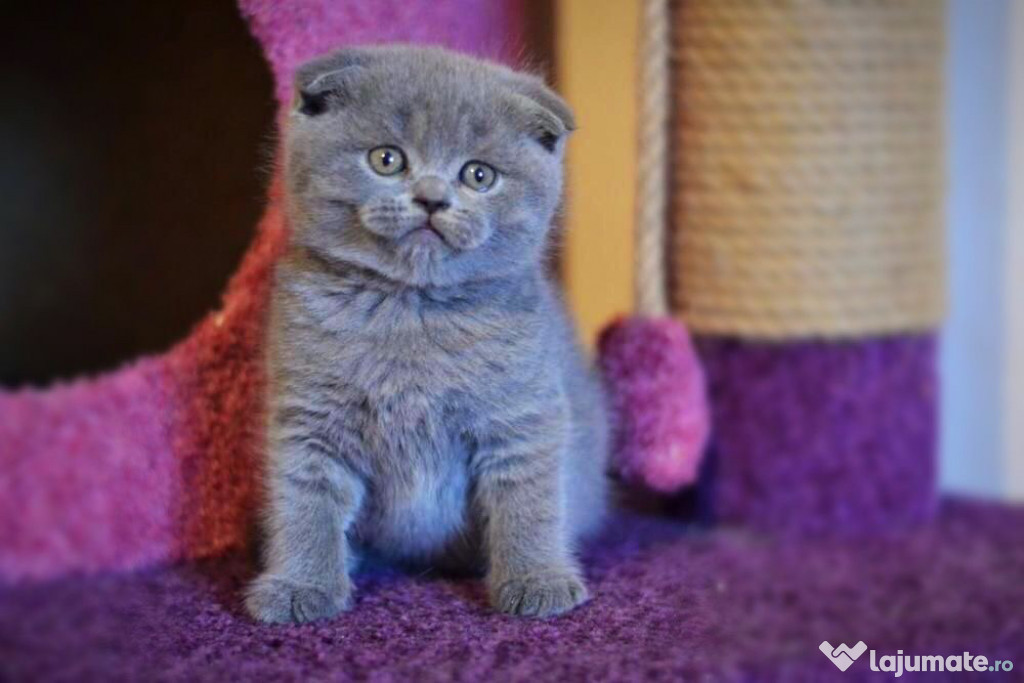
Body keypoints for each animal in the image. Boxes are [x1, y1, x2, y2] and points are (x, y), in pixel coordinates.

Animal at [245, 45, 606, 626]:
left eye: (479, 175)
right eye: (387, 160)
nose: (433, 198)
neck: (412, 309)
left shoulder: (522, 413)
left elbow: (529, 499)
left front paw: (537, 580)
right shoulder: (308, 417)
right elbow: (304, 502)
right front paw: (301, 586)